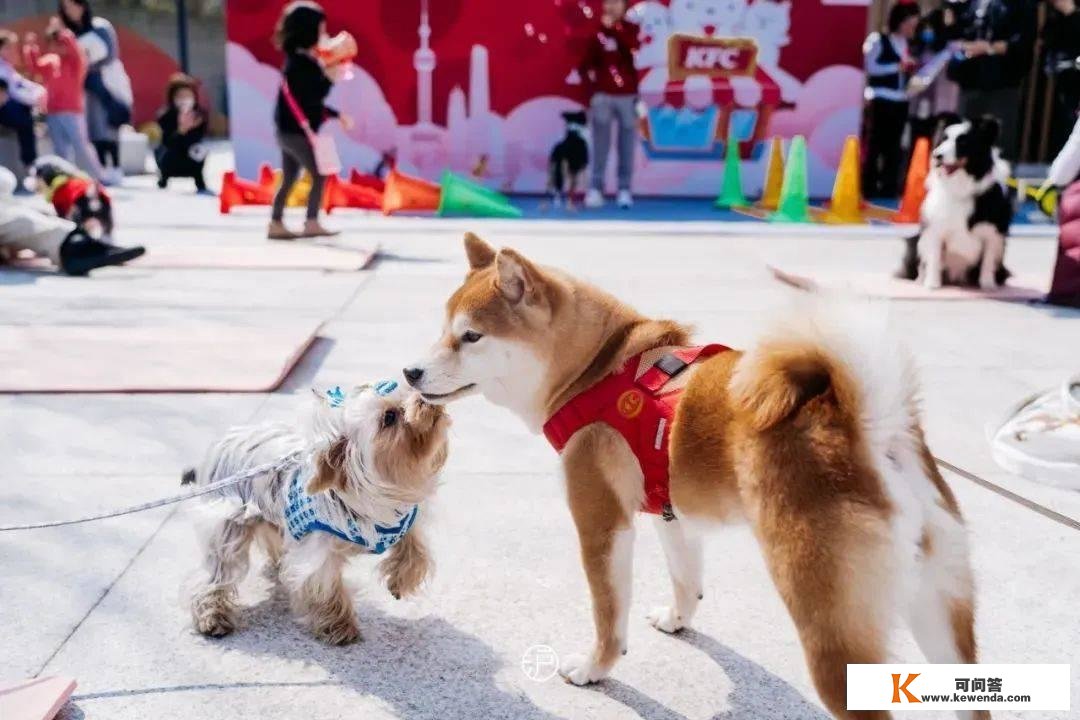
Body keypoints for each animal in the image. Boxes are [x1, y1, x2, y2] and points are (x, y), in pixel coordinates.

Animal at [187, 379, 449, 643]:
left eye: (408, 391)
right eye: (389, 417)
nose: (424, 400)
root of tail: (223, 440)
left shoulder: (401, 521)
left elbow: (416, 550)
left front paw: (400, 582)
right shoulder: (317, 550)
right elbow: (324, 584)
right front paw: (339, 626)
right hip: (228, 520)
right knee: (217, 570)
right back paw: (213, 617)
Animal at [406, 234, 989, 716]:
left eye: (471, 337)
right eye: (441, 332)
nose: (410, 371)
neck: (595, 369)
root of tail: (871, 431)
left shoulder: (602, 523)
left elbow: (608, 612)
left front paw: (595, 669)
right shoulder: (671, 513)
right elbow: (687, 580)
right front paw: (678, 620)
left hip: (828, 622)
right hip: (941, 615)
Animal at [894, 117, 1010, 289]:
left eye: (963, 142)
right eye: (943, 139)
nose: (937, 155)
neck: (960, 187)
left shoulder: (994, 232)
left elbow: (988, 260)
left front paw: (987, 285)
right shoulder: (934, 227)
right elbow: (934, 256)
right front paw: (932, 284)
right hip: (913, 242)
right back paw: (920, 279)